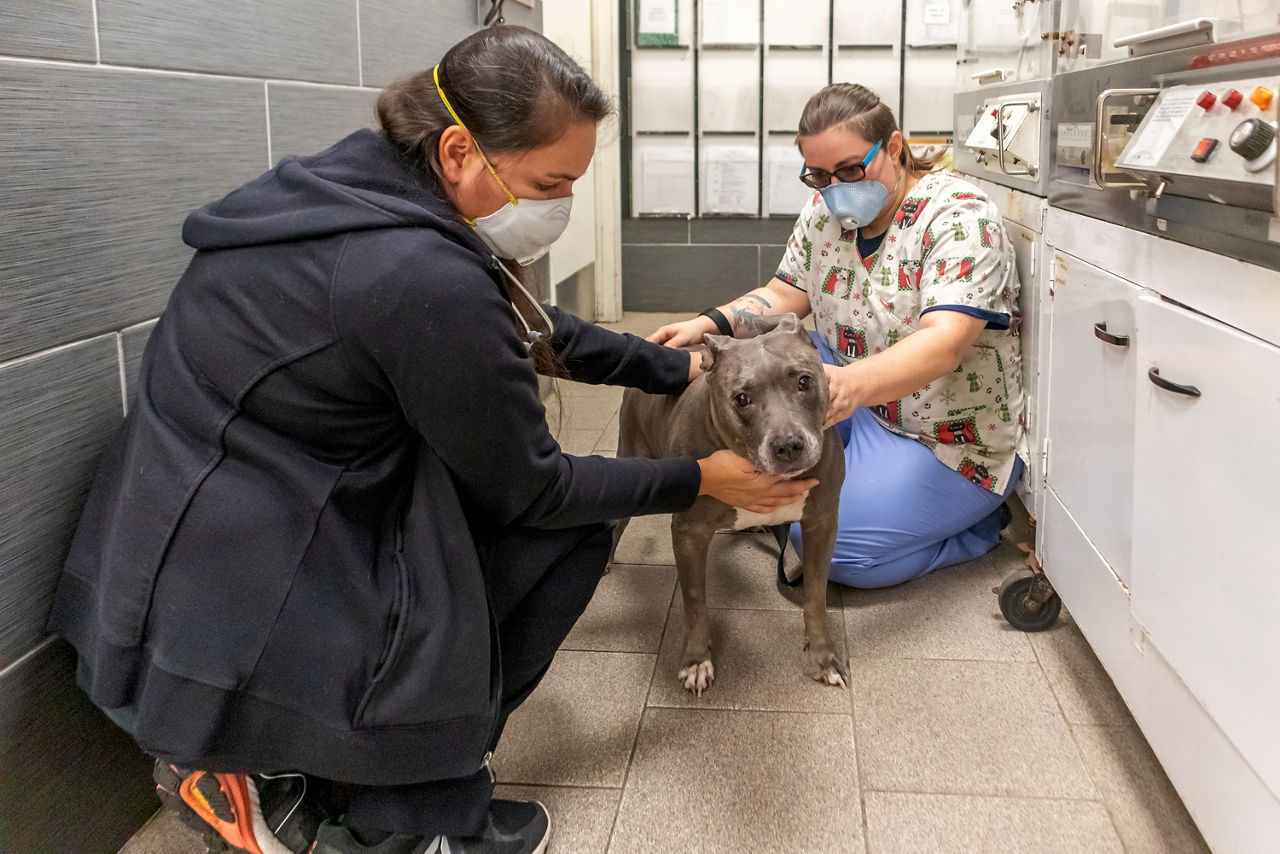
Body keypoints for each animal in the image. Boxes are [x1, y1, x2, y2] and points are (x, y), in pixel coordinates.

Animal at [611, 313, 844, 696]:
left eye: (804, 381)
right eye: (742, 398)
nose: (788, 445)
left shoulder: (821, 523)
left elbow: (815, 596)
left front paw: (822, 658)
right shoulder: (689, 533)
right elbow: (694, 599)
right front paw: (696, 661)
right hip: (632, 458)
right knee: (616, 523)